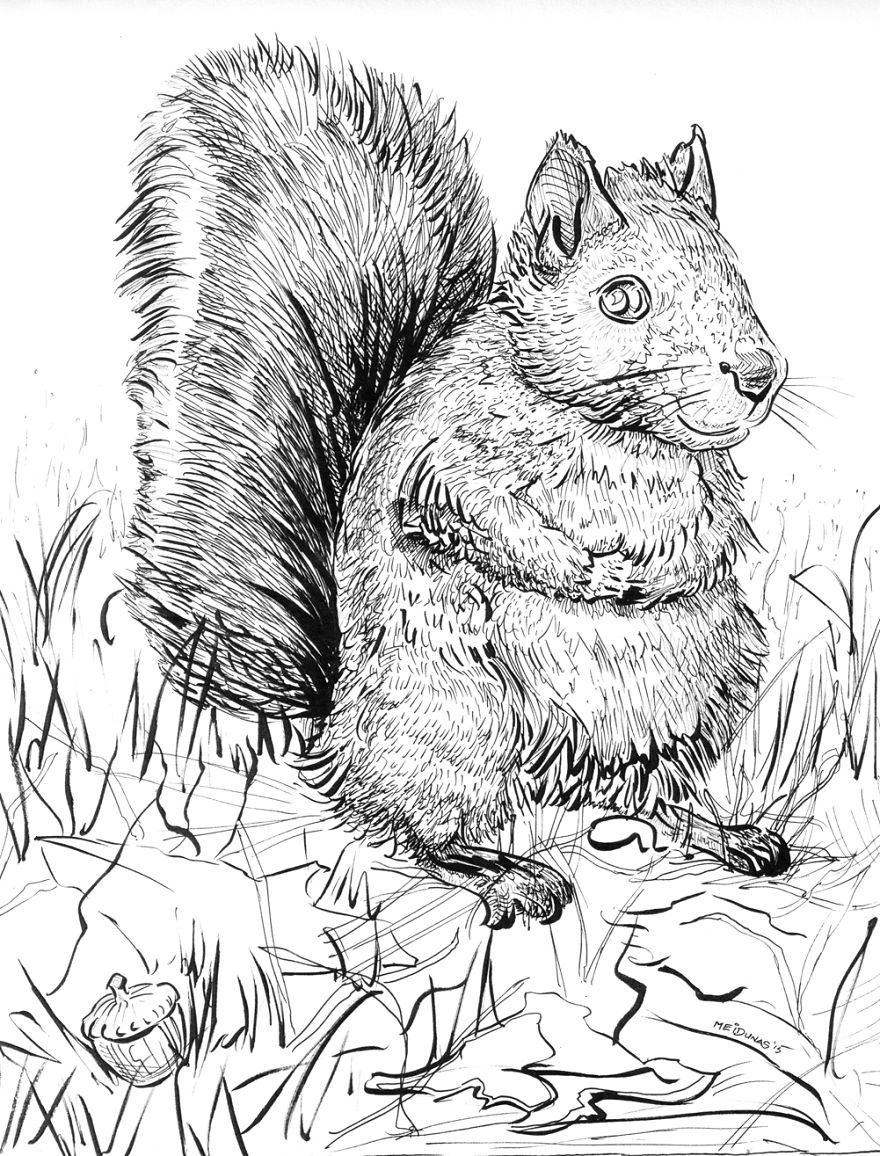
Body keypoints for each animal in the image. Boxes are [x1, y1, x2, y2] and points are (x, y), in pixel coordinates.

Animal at [119, 40, 790, 929]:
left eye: (738, 279)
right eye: (622, 299)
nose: (759, 374)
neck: (620, 435)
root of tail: (335, 726)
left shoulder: (707, 487)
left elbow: (711, 534)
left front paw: (658, 573)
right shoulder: (439, 463)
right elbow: (474, 514)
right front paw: (585, 572)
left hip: (699, 693)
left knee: (646, 794)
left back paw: (725, 833)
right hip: (459, 717)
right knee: (414, 829)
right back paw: (509, 874)